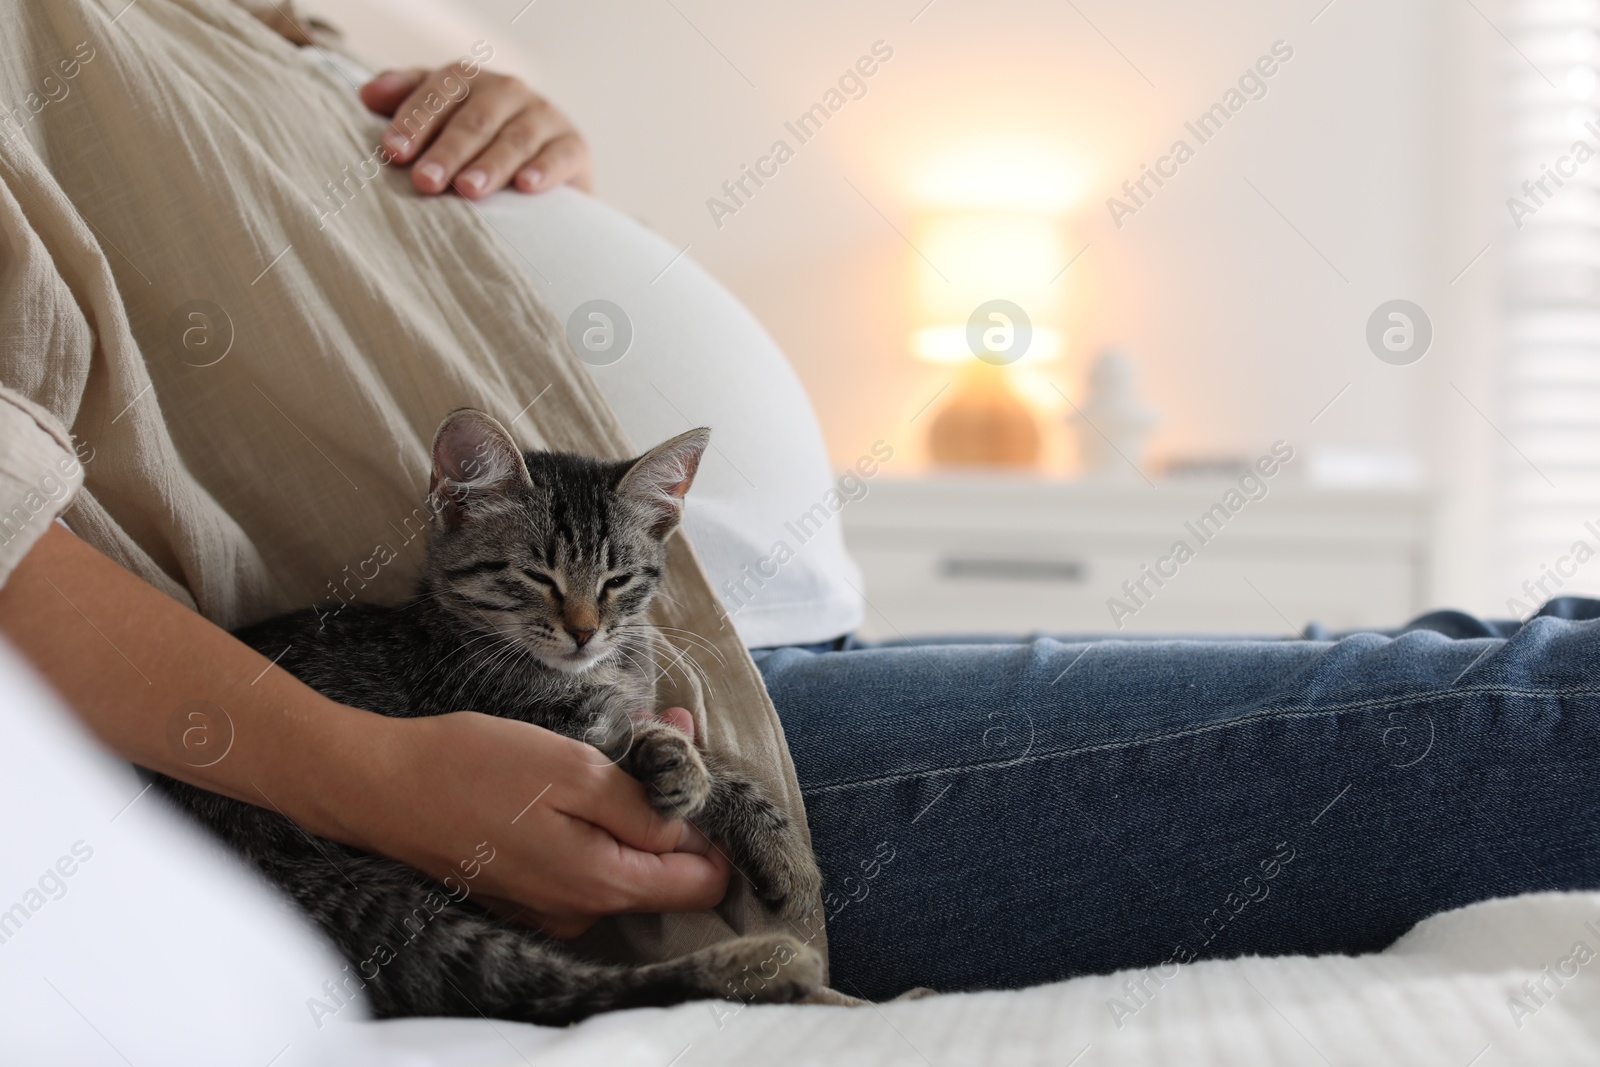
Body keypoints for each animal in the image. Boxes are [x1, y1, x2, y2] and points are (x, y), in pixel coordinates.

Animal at [154, 412, 825, 1023]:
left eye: (617, 580)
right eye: (535, 575)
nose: (584, 631)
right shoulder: (546, 723)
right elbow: (670, 748)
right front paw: (723, 798)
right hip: (353, 894)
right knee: (544, 990)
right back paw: (762, 967)